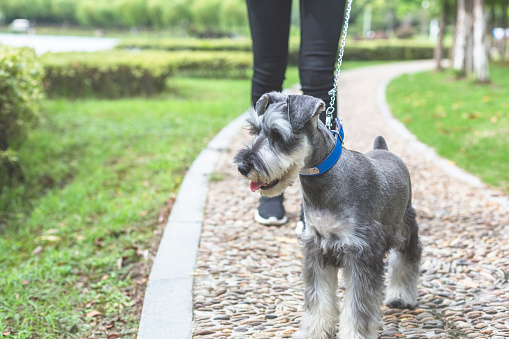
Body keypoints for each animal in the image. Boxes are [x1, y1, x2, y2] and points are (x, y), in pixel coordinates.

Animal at [234, 92, 420, 339]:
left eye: (277, 134)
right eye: (255, 131)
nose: (243, 167)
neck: (325, 182)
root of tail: (384, 149)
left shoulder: (361, 252)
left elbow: (357, 306)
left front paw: (354, 334)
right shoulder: (317, 249)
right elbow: (318, 300)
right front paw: (313, 331)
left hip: (406, 228)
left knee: (407, 260)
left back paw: (401, 296)